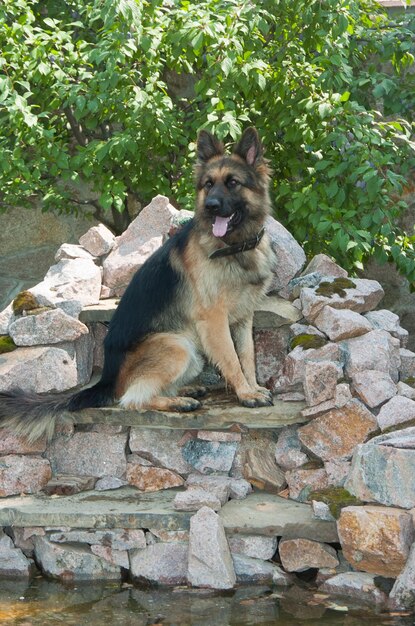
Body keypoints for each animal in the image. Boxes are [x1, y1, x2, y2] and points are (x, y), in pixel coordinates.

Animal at [0, 125, 276, 438]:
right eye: (208, 184)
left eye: (232, 183)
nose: (211, 206)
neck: (235, 247)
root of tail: (106, 380)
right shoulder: (214, 320)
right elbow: (231, 359)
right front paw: (246, 393)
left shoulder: (243, 318)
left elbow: (247, 356)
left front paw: (253, 387)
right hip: (177, 344)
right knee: (131, 400)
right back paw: (177, 402)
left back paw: (184, 390)